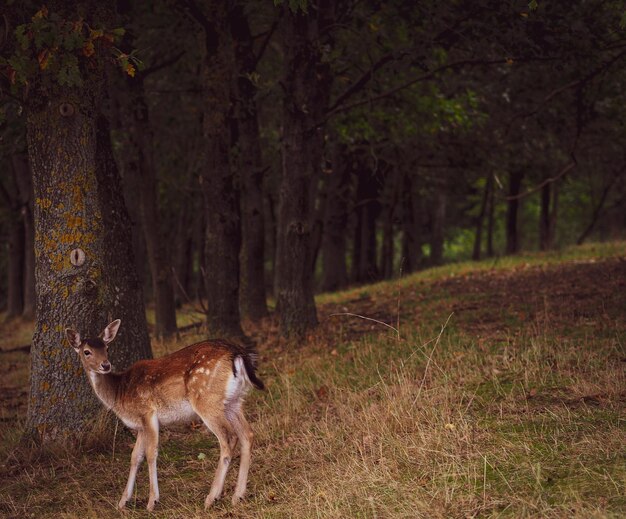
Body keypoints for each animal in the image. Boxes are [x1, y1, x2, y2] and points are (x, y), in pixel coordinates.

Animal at [65, 318, 264, 512]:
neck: (119, 392)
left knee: (229, 437)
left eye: (106, 348)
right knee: (247, 434)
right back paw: (237, 495)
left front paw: (152, 501)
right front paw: (122, 502)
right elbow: (135, 457)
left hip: (206, 399)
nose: (105, 365)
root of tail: (238, 353)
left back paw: (211, 498)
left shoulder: (148, 413)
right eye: (87, 351)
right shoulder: (140, 426)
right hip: (233, 401)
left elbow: (151, 453)